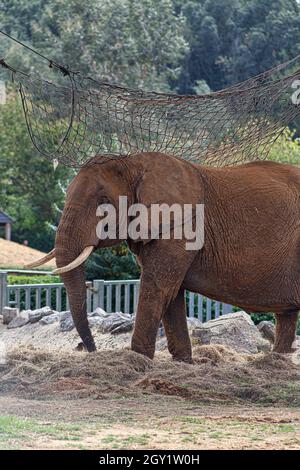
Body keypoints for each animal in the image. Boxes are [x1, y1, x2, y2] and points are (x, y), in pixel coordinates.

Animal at [27, 152, 298, 362]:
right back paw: (278, 361)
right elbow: (172, 292)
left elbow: (158, 286)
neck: (134, 162)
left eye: (104, 202)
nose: (88, 349)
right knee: (286, 316)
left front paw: (137, 360)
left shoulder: (182, 227)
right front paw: (183, 363)